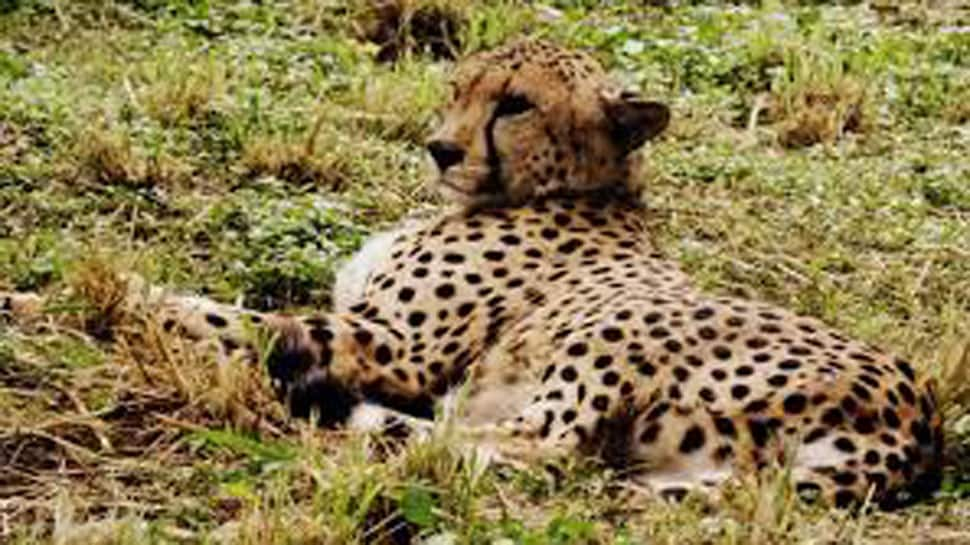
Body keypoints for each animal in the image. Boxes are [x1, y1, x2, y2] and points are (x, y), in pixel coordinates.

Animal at [0, 40, 936, 508]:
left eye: (516, 104)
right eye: (457, 85)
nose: (440, 147)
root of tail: (917, 424)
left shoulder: (394, 346)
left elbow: (221, 314)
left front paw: (51, 300)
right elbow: (234, 306)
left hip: (610, 334)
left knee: (540, 450)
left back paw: (327, 416)